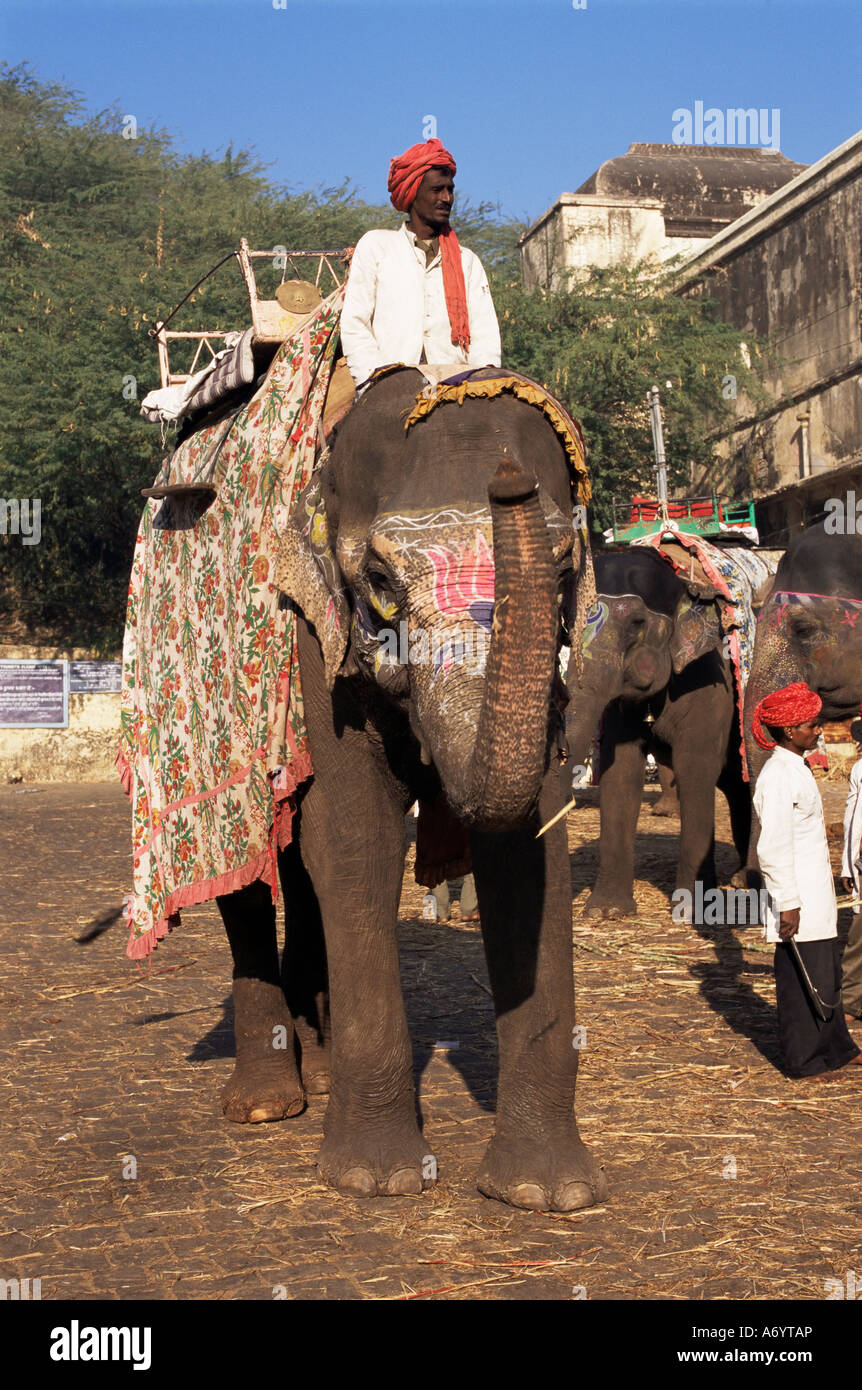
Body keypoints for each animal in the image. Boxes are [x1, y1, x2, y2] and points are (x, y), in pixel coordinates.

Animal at [216, 365, 608, 1212]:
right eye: (381, 589)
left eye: (563, 573)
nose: (509, 478)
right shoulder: (315, 639)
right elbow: (354, 835)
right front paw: (376, 1179)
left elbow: (530, 851)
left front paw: (544, 1193)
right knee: (246, 859)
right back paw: (268, 1103)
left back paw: (317, 1055)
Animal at [565, 544, 751, 921]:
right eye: (567, 625)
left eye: (636, 623)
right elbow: (621, 772)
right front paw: (607, 911)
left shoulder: (712, 678)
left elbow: (695, 768)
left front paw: (696, 912)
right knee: (738, 785)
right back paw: (741, 878)